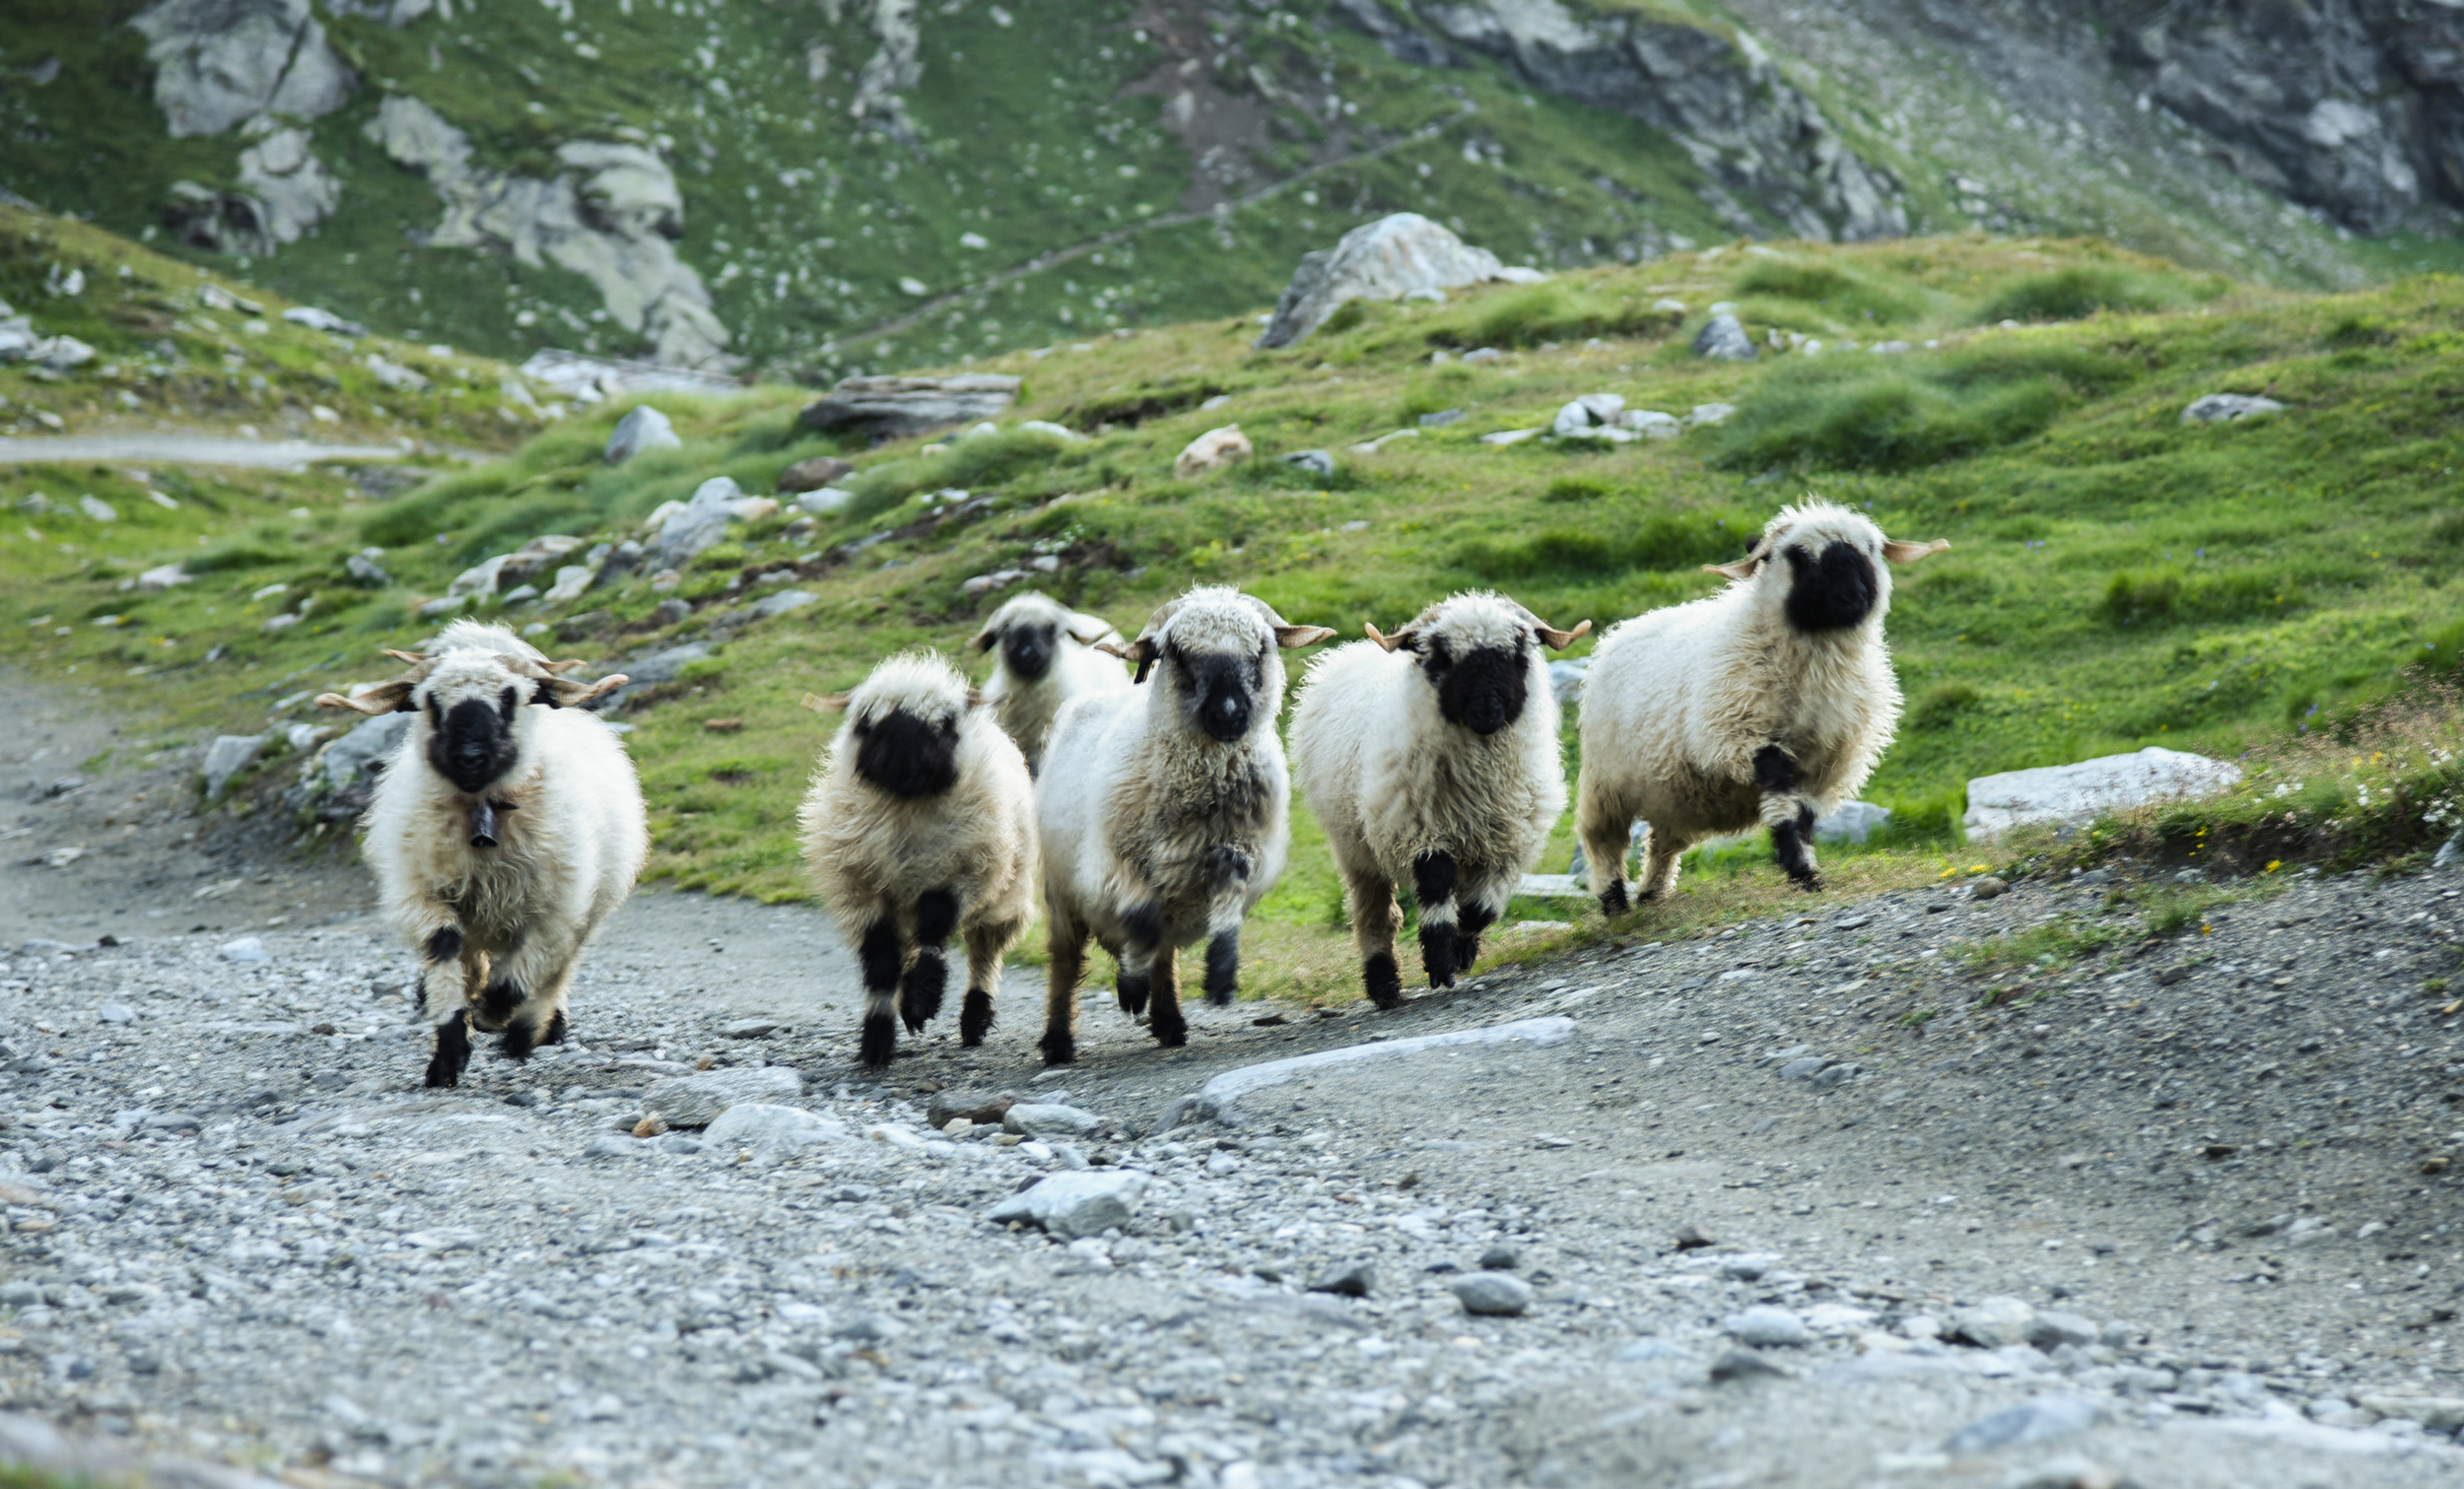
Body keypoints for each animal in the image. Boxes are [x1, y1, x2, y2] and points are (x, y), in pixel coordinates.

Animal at [316, 621, 645, 1087]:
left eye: (510, 697)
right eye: (430, 701)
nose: (470, 757)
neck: (483, 811)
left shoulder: (558, 909)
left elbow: (520, 977)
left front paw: (497, 1017)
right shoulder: (417, 893)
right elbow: (444, 946)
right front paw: (449, 1055)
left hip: (589, 906)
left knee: (557, 971)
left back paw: (532, 1030)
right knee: (471, 960)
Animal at [798, 651, 1038, 1069]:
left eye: (942, 725)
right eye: (867, 724)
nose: (902, 767)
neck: (907, 810)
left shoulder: (961, 872)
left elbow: (933, 933)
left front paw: (920, 1001)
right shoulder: (861, 887)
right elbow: (881, 963)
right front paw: (876, 1040)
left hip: (1006, 888)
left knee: (985, 952)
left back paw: (974, 1019)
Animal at [1034, 587, 1335, 1065]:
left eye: (1261, 647)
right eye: (1176, 652)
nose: (1229, 714)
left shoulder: (1244, 849)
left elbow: (1227, 895)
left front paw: (1221, 975)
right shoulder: (1111, 864)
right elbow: (1140, 920)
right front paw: (1129, 987)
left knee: (1164, 951)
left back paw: (1169, 1021)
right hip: (1062, 890)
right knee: (1067, 962)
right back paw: (1060, 1041)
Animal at [1290, 593, 1590, 1008]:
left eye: (1517, 653)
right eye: (1443, 657)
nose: (1486, 709)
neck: (1479, 783)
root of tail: (1344, 654)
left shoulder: (1510, 839)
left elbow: (1480, 910)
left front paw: (1463, 948)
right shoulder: (1419, 831)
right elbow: (1435, 892)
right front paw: (1440, 961)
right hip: (1354, 847)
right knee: (1374, 915)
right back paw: (1384, 985)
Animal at [1573, 501, 1946, 912]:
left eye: (1870, 549)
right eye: (1798, 556)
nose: (1853, 598)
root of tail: (1626, 627)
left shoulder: (1826, 762)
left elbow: (1803, 814)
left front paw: (1806, 872)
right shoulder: (1734, 736)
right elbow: (1783, 797)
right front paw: (1801, 870)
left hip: (1673, 795)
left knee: (1662, 843)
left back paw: (1652, 895)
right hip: (1606, 783)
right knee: (1602, 840)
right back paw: (1615, 903)